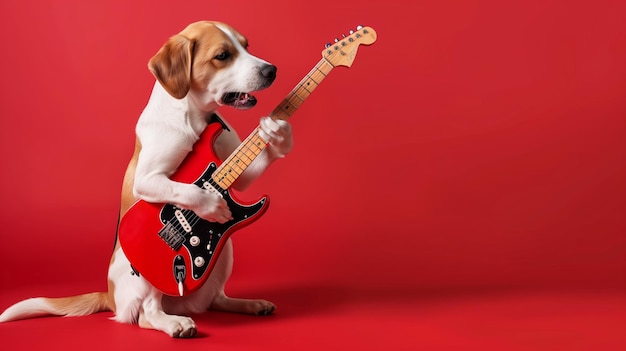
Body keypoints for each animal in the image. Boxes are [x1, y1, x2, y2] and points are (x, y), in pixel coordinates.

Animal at [0, 21, 292, 338]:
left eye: (246, 46)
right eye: (222, 55)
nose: (271, 70)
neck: (195, 117)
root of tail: (111, 296)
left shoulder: (236, 170)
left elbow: (245, 175)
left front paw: (277, 133)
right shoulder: (148, 178)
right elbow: (189, 191)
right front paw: (212, 205)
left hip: (225, 252)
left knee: (216, 299)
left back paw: (248, 305)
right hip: (144, 275)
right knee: (145, 314)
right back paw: (174, 323)